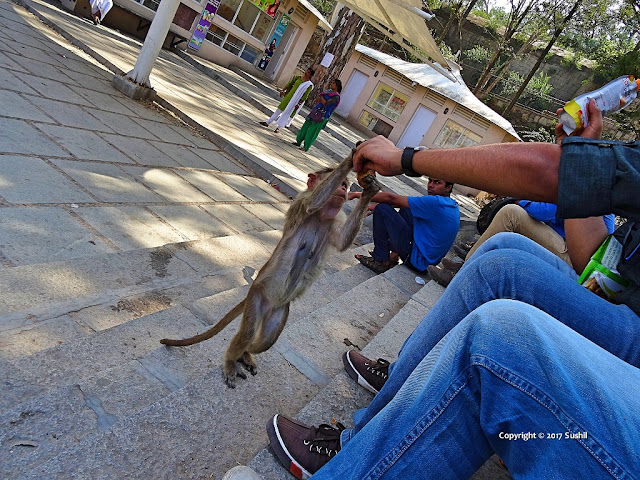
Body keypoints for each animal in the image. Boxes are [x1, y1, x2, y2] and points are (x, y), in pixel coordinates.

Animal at [160, 150, 382, 390]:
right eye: (341, 184)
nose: (343, 190)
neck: (323, 217)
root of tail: (265, 302)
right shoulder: (301, 205)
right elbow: (313, 203)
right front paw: (351, 158)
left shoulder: (333, 223)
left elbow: (342, 242)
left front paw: (370, 191)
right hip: (257, 298)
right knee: (248, 333)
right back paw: (231, 360)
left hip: (280, 311)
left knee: (266, 340)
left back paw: (245, 354)